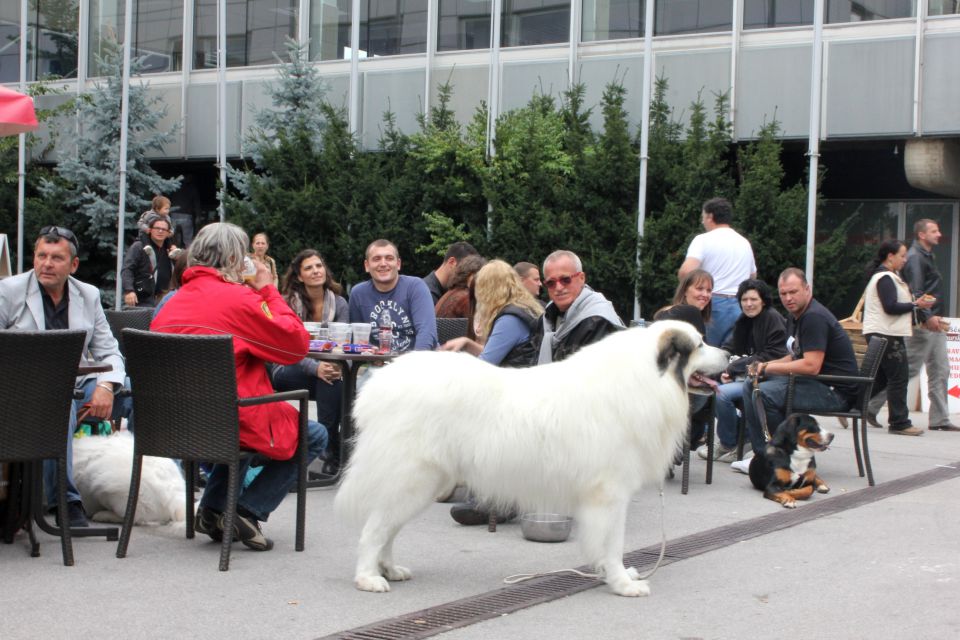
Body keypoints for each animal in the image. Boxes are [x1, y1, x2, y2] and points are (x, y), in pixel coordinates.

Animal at [334, 322, 724, 596]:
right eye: (700, 344)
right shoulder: (610, 494)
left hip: (422, 483)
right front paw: (621, 583)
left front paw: (618, 575)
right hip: (413, 478)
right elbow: (612, 543)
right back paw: (368, 577)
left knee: (387, 528)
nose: (732, 357)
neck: (647, 380)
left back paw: (388, 569)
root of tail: (380, 384)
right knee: (374, 529)